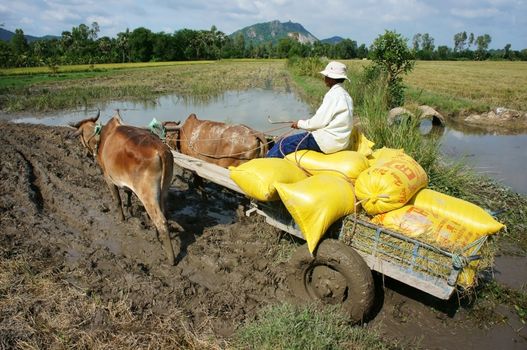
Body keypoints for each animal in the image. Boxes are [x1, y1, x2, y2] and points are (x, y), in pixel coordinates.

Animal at [72, 110, 180, 264]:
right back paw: (156, 236)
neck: (102, 137)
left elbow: (117, 200)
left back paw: (171, 259)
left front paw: (122, 218)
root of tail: (161, 151)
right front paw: (130, 210)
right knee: (163, 213)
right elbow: (128, 193)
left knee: (161, 221)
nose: (87, 154)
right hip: (162, 191)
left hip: (147, 195)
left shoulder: (108, 177)